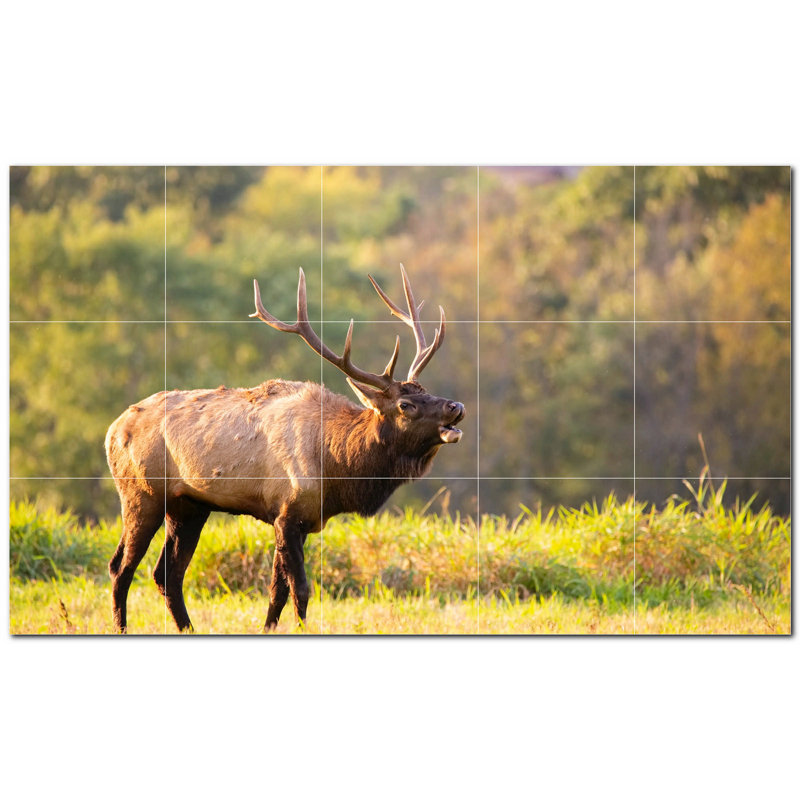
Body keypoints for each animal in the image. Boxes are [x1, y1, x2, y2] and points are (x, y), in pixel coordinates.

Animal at [105, 265, 465, 632]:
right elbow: (301, 588)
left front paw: (268, 628)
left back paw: (187, 628)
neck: (337, 469)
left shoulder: (301, 519)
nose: (456, 406)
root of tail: (112, 430)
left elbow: (277, 590)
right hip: (141, 494)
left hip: (188, 506)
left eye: (427, 390)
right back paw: (122, 627)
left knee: (167, 573)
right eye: (406, 405)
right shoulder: (287, 512)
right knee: (121, 567)